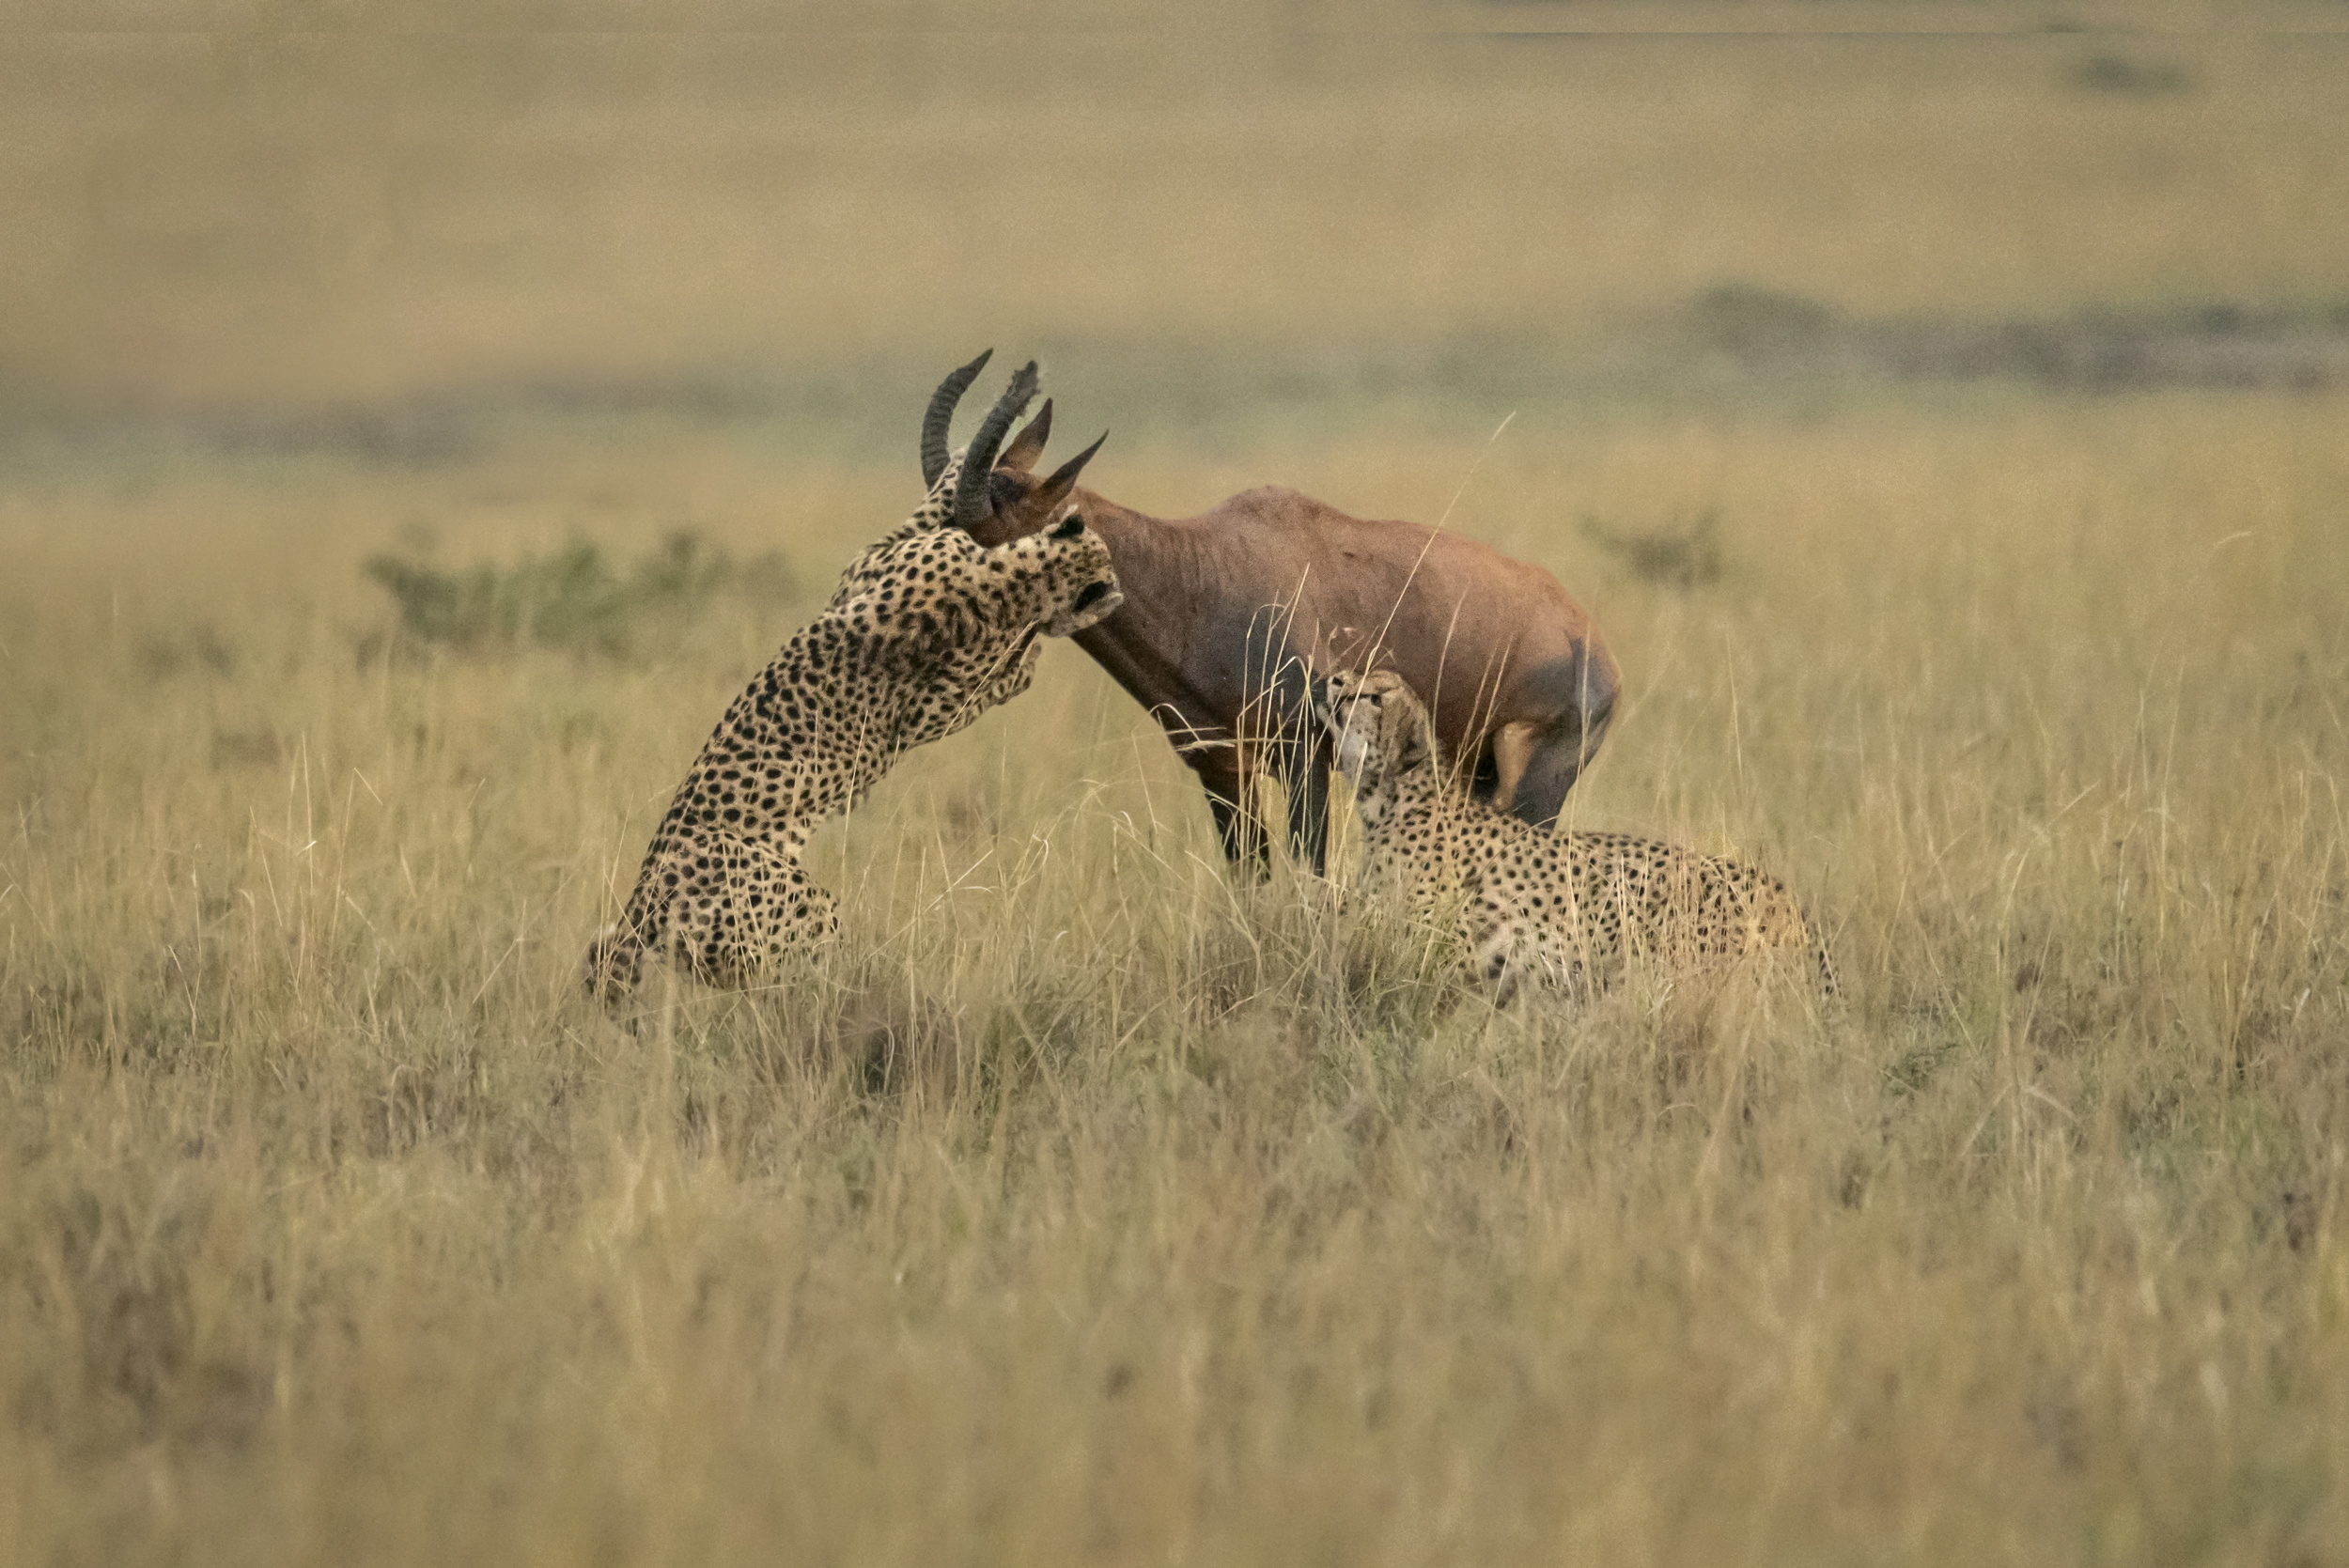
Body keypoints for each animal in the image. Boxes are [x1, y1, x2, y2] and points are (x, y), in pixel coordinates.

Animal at [583, 440, 1121, 1004]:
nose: (1120, 592)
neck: (1017, 580)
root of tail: (643, 908)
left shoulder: (872, 592)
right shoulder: (909, 641)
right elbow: (1011, 667)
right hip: (806, 914)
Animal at [919, 352, 1620, 877]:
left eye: (1001, 544)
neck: (1199, 569)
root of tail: (1588, 639)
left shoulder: (1305, 755)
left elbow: (1311, 870)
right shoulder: (1219, 768)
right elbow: (1252, 879)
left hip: (1535, 780)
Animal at [1309, 667, 1840, 1008]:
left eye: (1375, 696)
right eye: (1357, 677)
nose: (1332, 680)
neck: (1390, 795)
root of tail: (1785, 894)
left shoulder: (1449, 949)